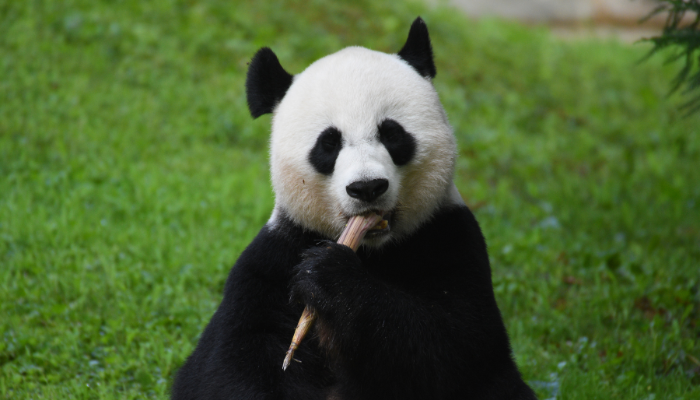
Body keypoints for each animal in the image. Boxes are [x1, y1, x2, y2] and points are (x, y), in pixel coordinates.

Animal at [172, 17, 536, 400]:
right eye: (328, 144)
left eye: (392, 134)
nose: (367, 187)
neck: (371, 249)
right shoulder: (277, 256)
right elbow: (228, 362)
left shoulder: (448, 236)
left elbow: (456, 345)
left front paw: (330, 275)